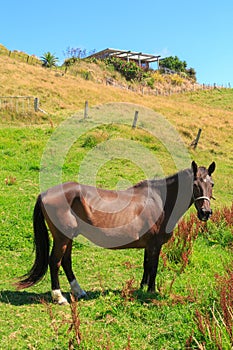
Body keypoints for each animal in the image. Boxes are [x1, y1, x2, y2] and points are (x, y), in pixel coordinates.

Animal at [16, 161, 216, 304]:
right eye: (195, 184)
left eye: (211, 184)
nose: (205, 212)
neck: (160, 201)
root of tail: (45, 194)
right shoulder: (155, 245)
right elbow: (153, 267)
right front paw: (151, 292)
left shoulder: (149, 245)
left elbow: (146, 265)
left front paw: (142, 288)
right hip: (61, 238)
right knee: (55, 262)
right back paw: (59, 297)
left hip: (68, 238)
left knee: (66, 262)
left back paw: (79, 292)